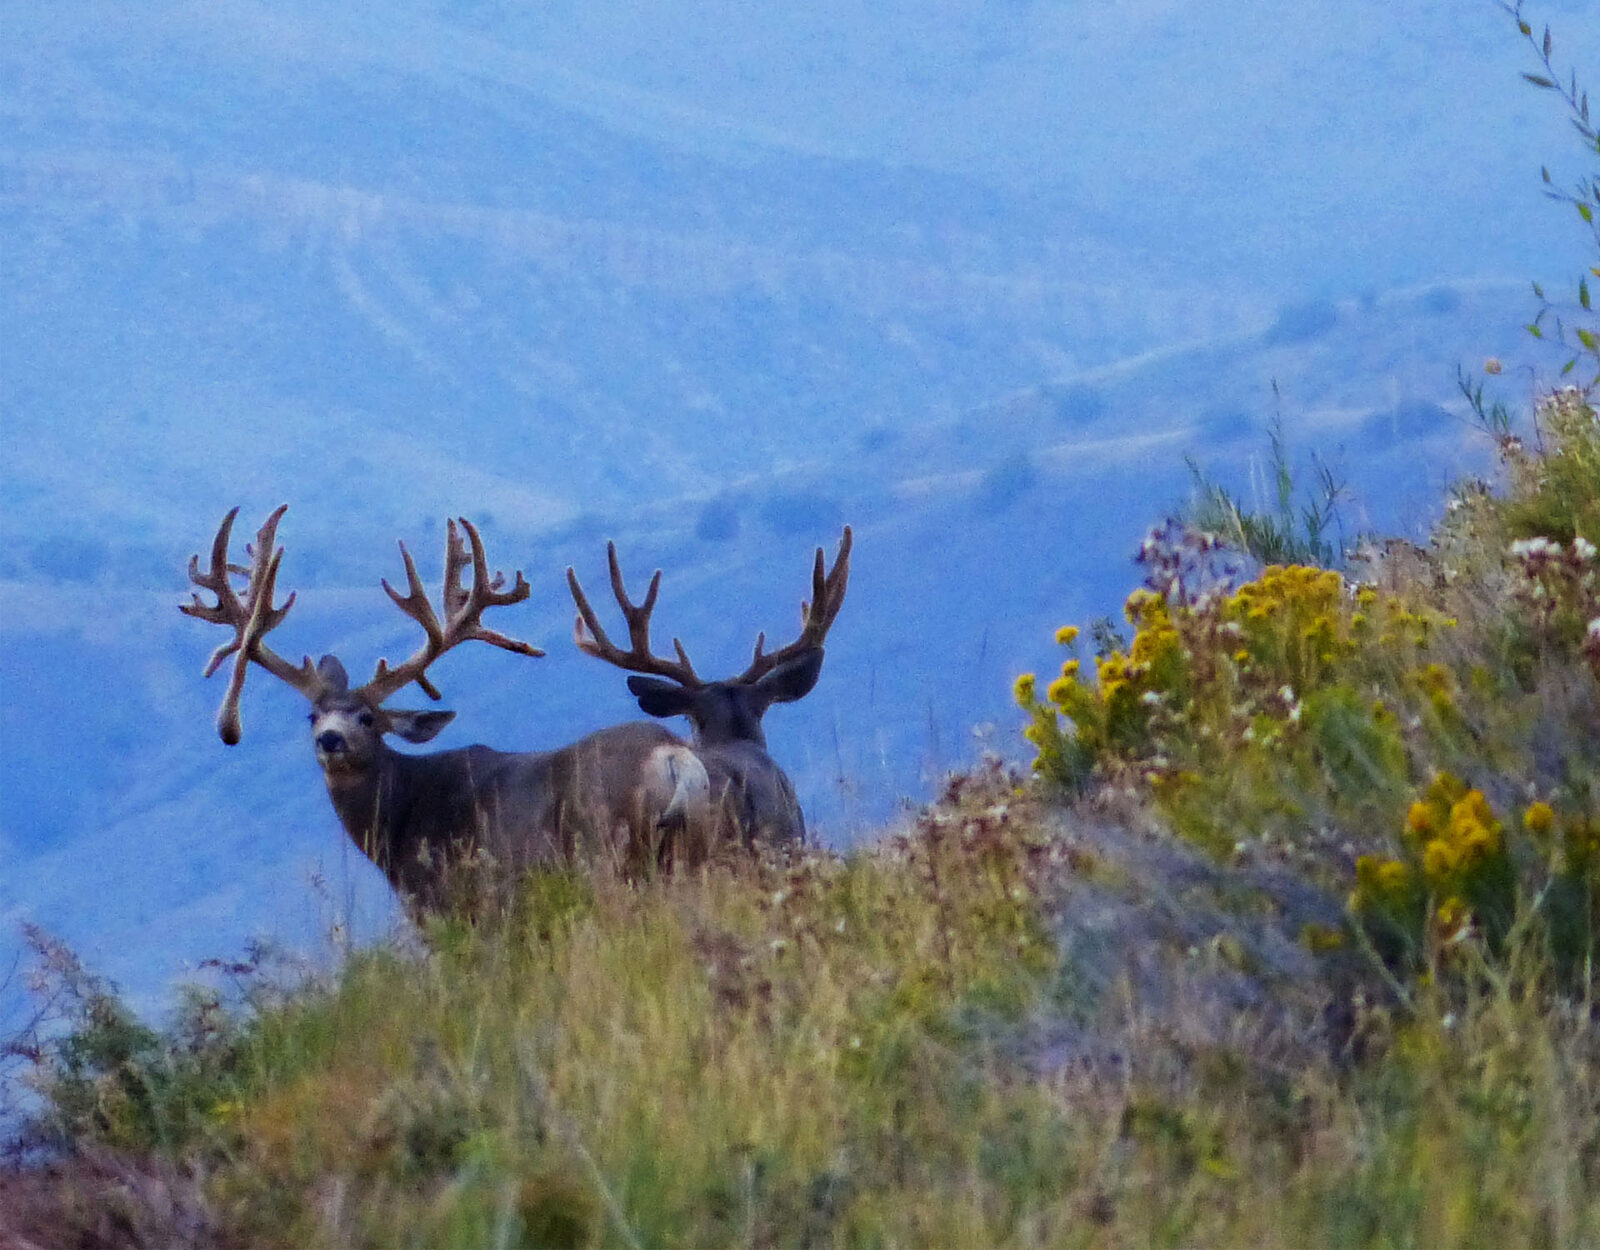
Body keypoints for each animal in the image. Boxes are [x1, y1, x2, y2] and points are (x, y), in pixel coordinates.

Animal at [180, 505, 707, 909]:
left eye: (368, 718)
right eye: (311, 715)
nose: (329, 738)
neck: (402, 820)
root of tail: (672, 755)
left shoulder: (451, 901)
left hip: (607, 854)